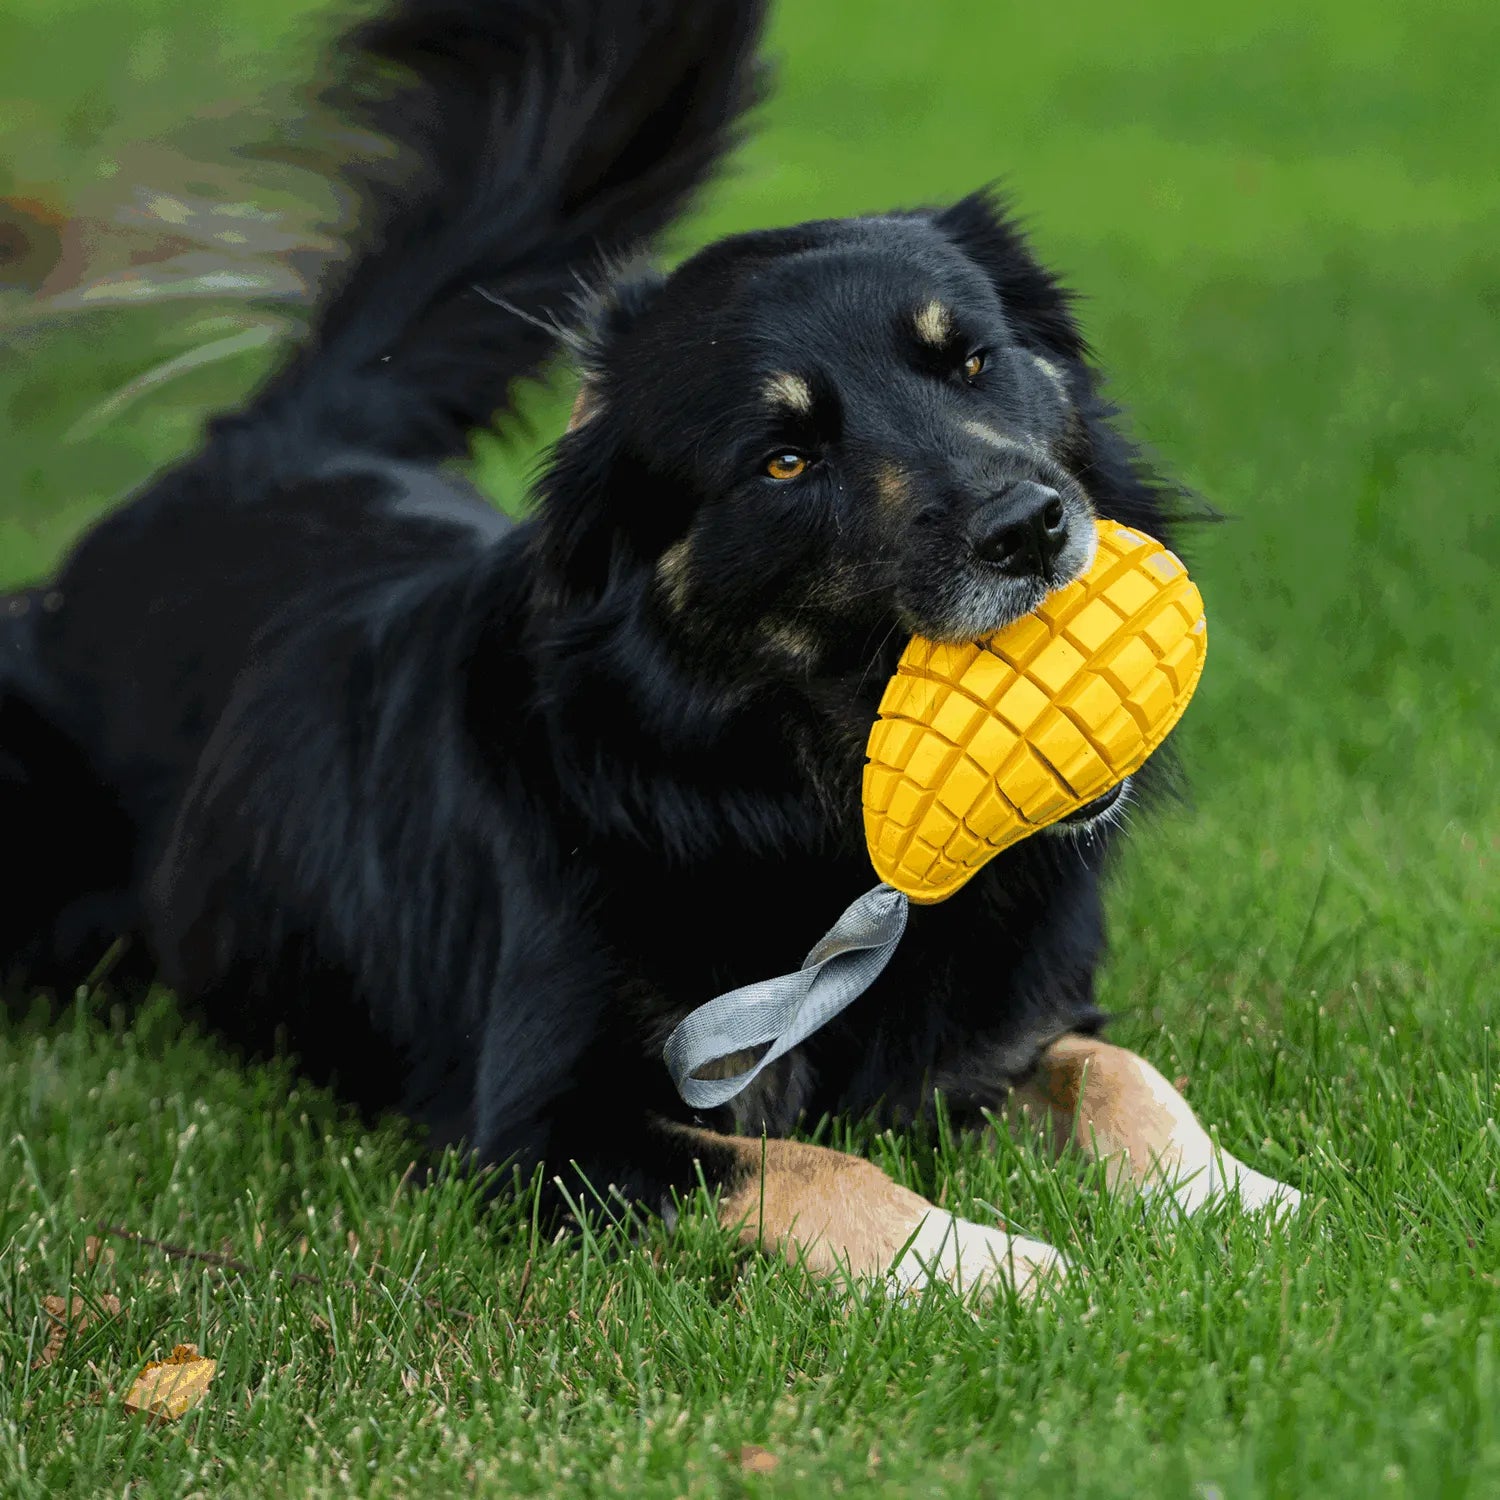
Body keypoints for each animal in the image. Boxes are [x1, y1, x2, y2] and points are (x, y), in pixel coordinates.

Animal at [0, 0, 1296, 1290]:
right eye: (785, 459)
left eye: (973, 360)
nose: (1029, 529)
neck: (777, 810)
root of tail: (258, 450)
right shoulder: (549, 1130)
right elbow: (814, 1167)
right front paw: (988, 1264)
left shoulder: (1001, 1033)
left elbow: (1122, 1072)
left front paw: (1237, 1196)